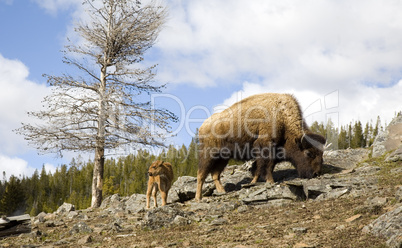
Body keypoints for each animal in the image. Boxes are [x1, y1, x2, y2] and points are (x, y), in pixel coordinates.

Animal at [196, 93, 326, 202]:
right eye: (308, 153)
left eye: (321, 154)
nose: (316, 173)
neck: (281, 116)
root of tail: (203, 126)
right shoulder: (266, 146)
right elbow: (266, 166)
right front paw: (270, 181)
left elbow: (260, 167)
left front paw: (253, 182)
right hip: (209, 155)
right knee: (201, 174)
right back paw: (198, 197)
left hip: (223, 158)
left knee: (215, 174)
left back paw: (222, 191)